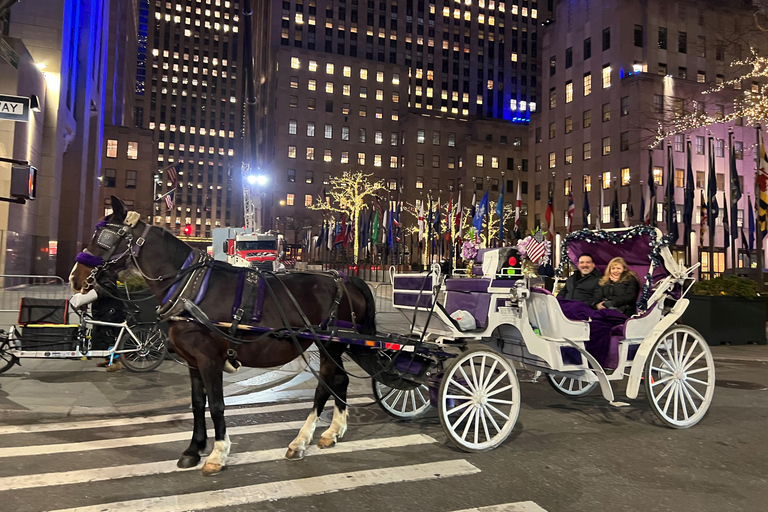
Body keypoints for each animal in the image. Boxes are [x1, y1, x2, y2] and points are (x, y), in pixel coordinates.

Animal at [70, 197, 376, 476]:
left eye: (106, 238)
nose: (75, 277)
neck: (190, 288)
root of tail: (345, 279)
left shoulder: (209, 359)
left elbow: (216, 405)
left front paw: (217, 454)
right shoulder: (193, 361)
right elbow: (197, 404)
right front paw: (193, 449)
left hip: (328, 346)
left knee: (325, 385)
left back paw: (301, 440)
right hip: (336, 347)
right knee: (341, 380)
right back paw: (333, 431)